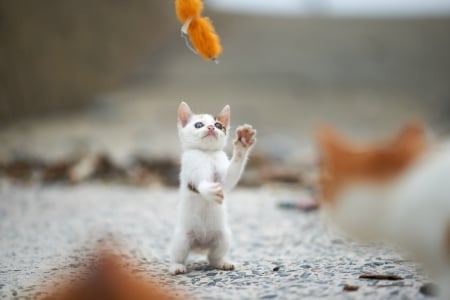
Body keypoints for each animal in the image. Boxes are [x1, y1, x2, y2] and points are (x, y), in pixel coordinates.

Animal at [169, 101, 255, 274]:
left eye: (218, 125)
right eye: (198, 124)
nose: (210, 127)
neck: (206, 154)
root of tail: (200, 245)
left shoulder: (223, 174)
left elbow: (229, 178)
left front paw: (242, 144)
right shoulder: (190, 168)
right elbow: (199, 183)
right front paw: (208, 190)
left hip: (224, 236)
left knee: (213, 257)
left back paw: (222, 262)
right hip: (181, 238)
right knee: (178, 255)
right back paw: (177, 266)